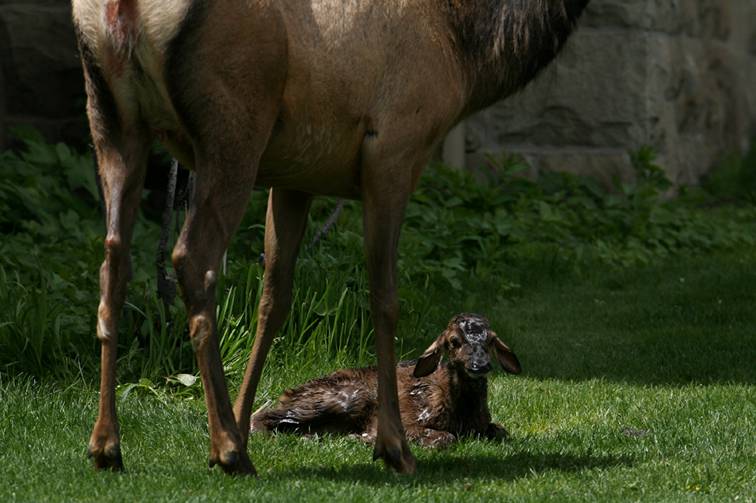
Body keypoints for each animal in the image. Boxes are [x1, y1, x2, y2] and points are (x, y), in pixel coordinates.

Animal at [252, 316, 520, 448]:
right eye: (454, 341)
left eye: (491, 341)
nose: (479, 365)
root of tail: (289, 392)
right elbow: (446, 438)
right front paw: (367, 438)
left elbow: (501, 431)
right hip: (345, 397)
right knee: (261, 416)